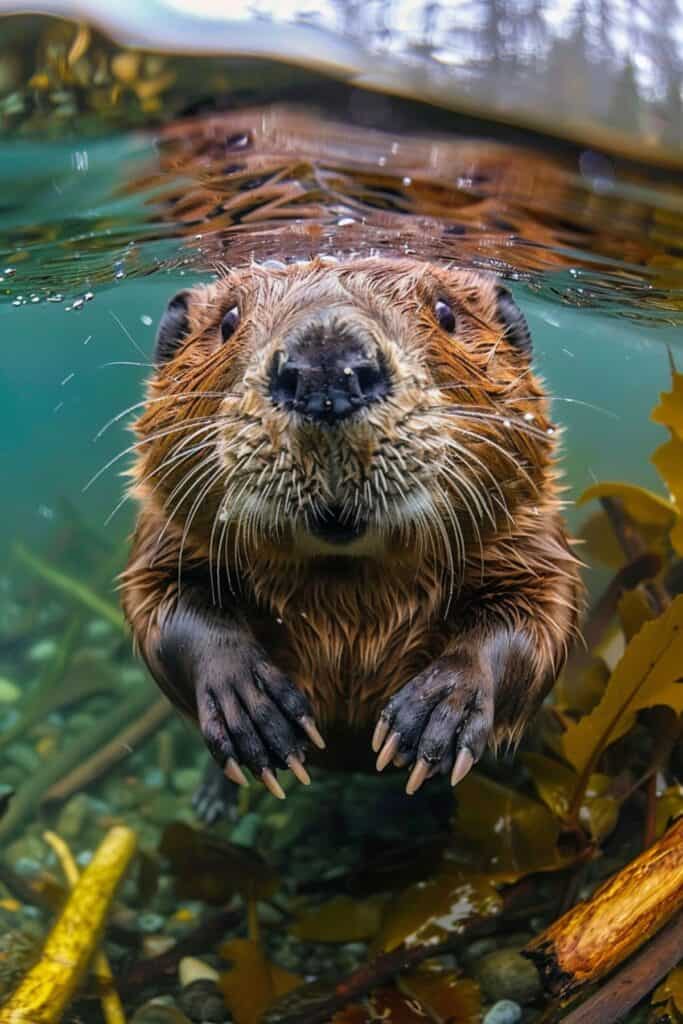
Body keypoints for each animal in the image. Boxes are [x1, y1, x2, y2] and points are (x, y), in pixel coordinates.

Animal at [121, 256, 581, 798]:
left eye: (445, 312)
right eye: (228, 321)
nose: (326, 370)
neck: (347, 578)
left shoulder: (530, 534)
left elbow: (538, 614)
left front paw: (430, 718)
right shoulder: (166, 536)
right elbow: (163, 605)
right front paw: (253, 708)